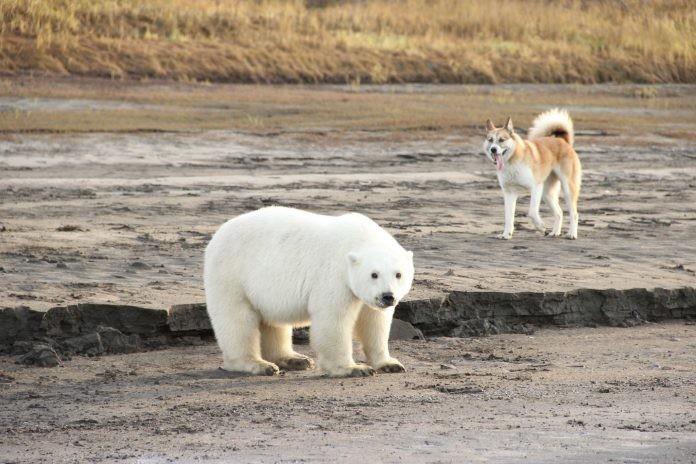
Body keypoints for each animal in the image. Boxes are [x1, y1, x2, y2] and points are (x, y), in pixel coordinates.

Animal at [204, 207, 416, 376]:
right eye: (374, 274)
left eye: (398, 274)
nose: (388, 296)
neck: (359, 239)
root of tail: (218, 234)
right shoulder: (334, 277)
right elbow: (333, 321)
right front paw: (354, 368)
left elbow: (374, 322)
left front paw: (390, 364)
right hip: (231, 275)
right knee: (237, 320)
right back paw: (259, 364)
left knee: (272, 322)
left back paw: (295, 359)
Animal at [484, 108, 580, 239]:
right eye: (490, 140)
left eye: (501, 140)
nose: (493, 149)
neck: (512, 161)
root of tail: (562, 140)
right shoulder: (509, 193)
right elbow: (508, 217)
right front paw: (506, 234)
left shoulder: (536, 187)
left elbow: (532, 212)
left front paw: (541, 227)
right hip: (547, 194)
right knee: (559, 213)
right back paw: (555, 232)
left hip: (567, 189)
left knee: (574, 214)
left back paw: (572, 234)